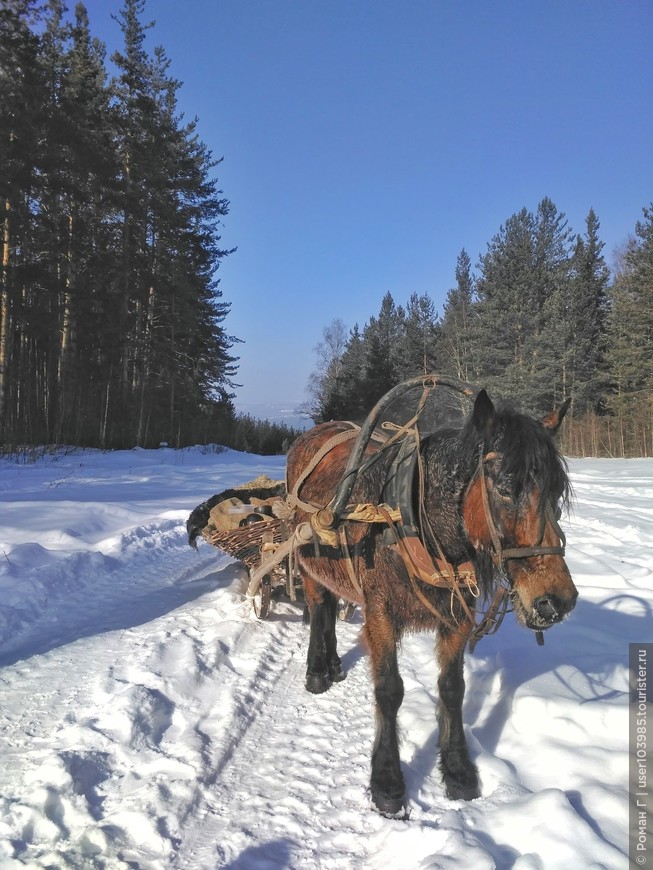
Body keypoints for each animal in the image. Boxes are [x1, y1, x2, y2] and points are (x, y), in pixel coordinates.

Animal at [286, 384, 576, 820]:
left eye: (558, 491)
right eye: (505, 488)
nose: (557, 601)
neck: (413, 521)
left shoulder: (458, 617)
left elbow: (452, 688)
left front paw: (458, 770)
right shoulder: (380, 612)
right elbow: (389, 690)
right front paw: (387, 780)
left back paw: (335, 665)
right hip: (309, 562)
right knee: (321, 607)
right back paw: (319, 670)